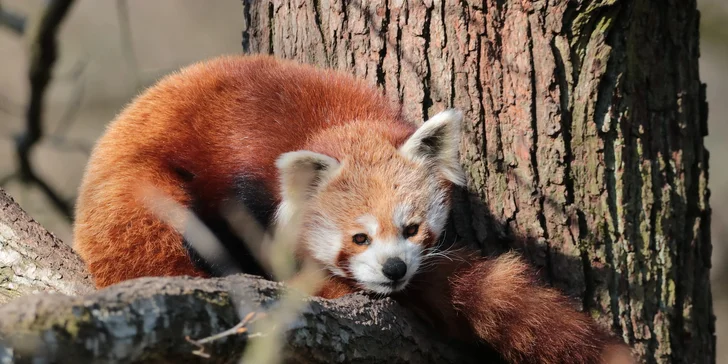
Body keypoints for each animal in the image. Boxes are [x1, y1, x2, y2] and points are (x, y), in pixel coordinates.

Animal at [72, 54, 632, 364]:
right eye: (359, 238)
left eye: (412, 228)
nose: (394, 269)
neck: (330, 122)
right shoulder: (237, 171)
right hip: (138, 202)